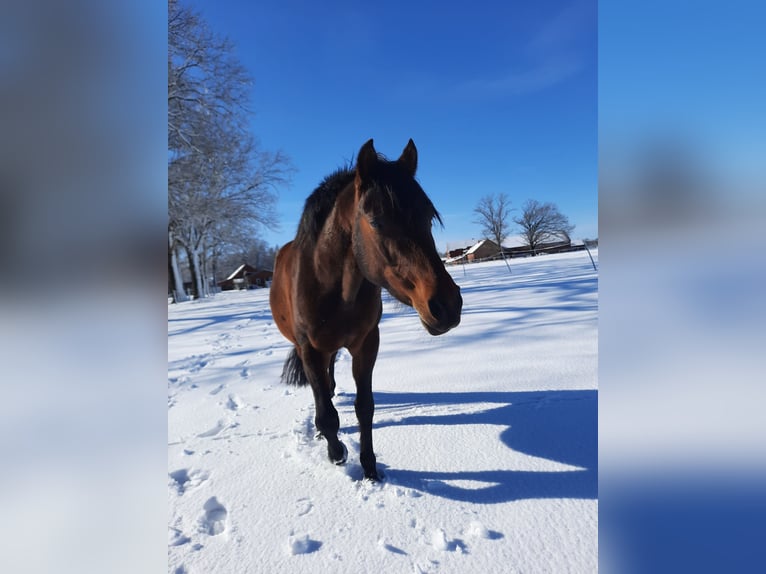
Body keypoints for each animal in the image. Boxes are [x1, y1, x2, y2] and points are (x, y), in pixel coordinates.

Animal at [270, 141, 462, 482]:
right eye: (375, 221)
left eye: (428, 217)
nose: (447, 305)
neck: (333, 289)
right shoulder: (309, 349)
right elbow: (327, 414)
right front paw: (336, 454)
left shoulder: (366, 344)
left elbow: (365, 407)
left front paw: (370, 470)